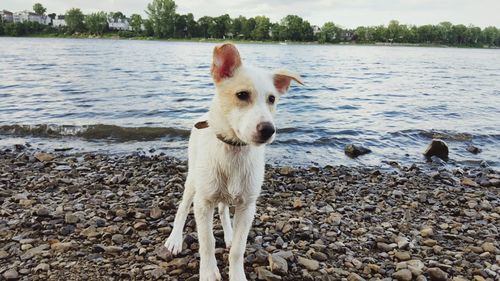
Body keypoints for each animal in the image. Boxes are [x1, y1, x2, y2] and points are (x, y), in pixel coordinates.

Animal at [166, 42, 302, 278]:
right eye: (242, 94)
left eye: (272, 99)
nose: (268, 130)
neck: (233, 150)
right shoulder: (203, 203)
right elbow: (207, 242)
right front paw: (209, 273)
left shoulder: (247, 207)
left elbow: (238, 249)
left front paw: (237, 274)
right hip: (193, 181)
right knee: (183, 208)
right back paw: (174, 239)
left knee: (223, 210)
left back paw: (228, 234)